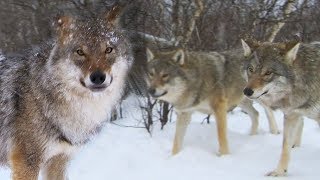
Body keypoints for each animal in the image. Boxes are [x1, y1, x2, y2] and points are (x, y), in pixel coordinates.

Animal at [146, 47, 280, 156]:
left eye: (165, 75)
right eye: (151, 74)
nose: (150, 90)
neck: (197, 81)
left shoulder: (219, 108)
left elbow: (221, 137)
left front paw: (225, 157)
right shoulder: (184, 114)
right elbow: (177, 142)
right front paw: (174, 157)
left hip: (260, 97)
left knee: (269, 112)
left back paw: (274, 132)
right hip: (242, 101)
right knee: (256, 114)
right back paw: (251, 136)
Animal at [241, 37, 320, 176]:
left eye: (268, 73)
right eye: (251, 69)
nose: (247, 91)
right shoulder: (291, 115)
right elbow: (285, 147)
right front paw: (279, 172)